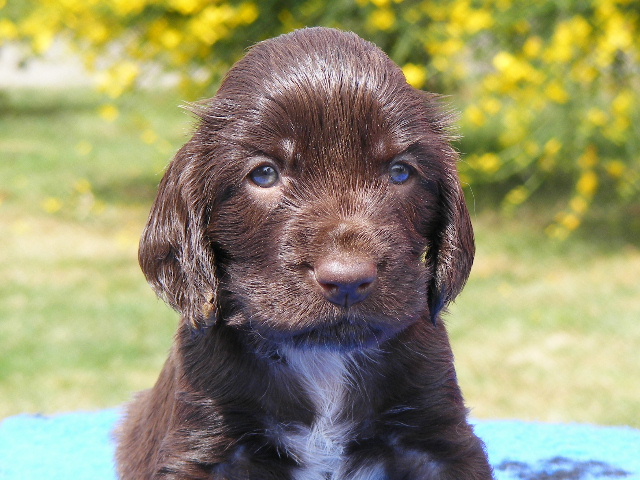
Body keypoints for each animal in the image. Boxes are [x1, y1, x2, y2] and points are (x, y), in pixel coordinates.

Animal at [116, 27, 496, 480]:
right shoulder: (204, 443)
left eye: (401, 171)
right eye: (264, 174)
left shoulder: (440, 439)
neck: (321, 357)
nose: (348, 280)